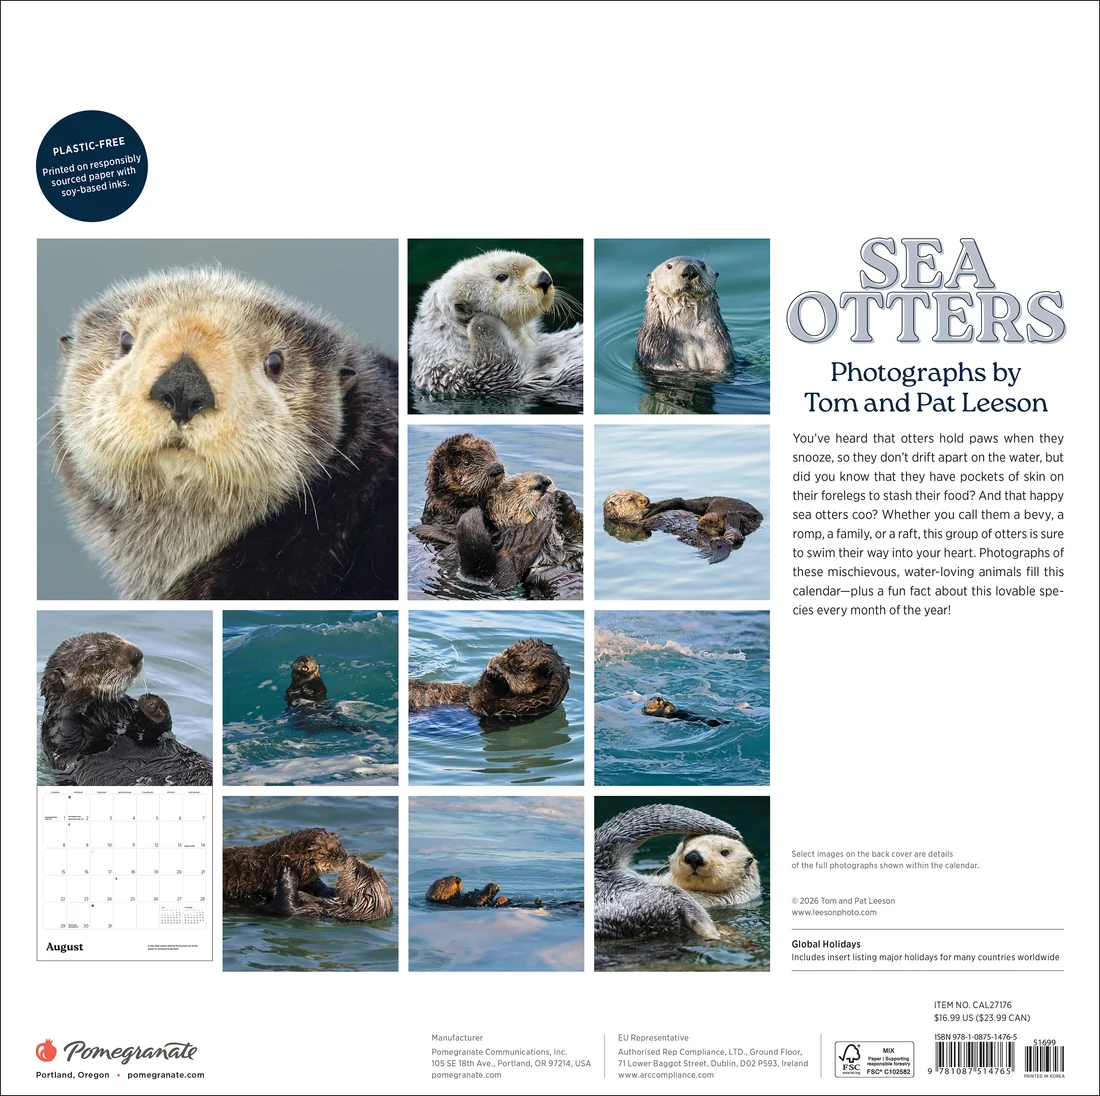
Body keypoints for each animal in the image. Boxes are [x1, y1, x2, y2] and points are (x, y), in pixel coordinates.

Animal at [409, 638, 570, 723]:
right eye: (505, 652)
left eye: (520, 669)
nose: (494, 665)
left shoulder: (511, 710)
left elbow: (481, 700)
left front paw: (494, 676)